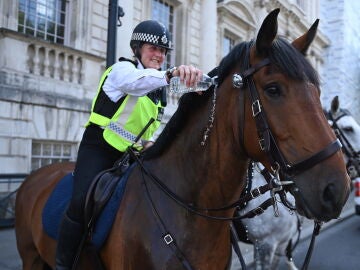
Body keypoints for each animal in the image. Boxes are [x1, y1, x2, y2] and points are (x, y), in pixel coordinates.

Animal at [15, 8, 350, 270]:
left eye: (317, 91)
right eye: (273, 89)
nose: (336, 190)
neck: (190, 212)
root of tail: (38, 175)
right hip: (32, 257)